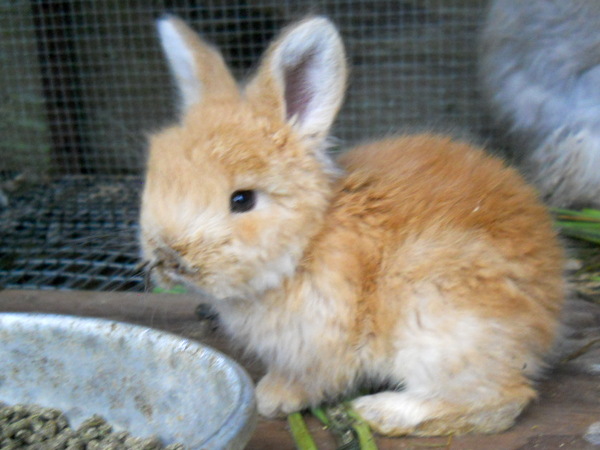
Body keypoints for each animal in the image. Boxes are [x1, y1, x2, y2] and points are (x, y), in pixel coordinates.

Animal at [139, 16, 564, 436]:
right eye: (157, 176)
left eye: (242, 200)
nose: (169, 256)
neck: (307, 242)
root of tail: (547, 318)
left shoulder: (323, 346)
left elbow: (313, 379)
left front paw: (273, 398)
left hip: (439, 327)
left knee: (502, 400)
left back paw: (380, 413)